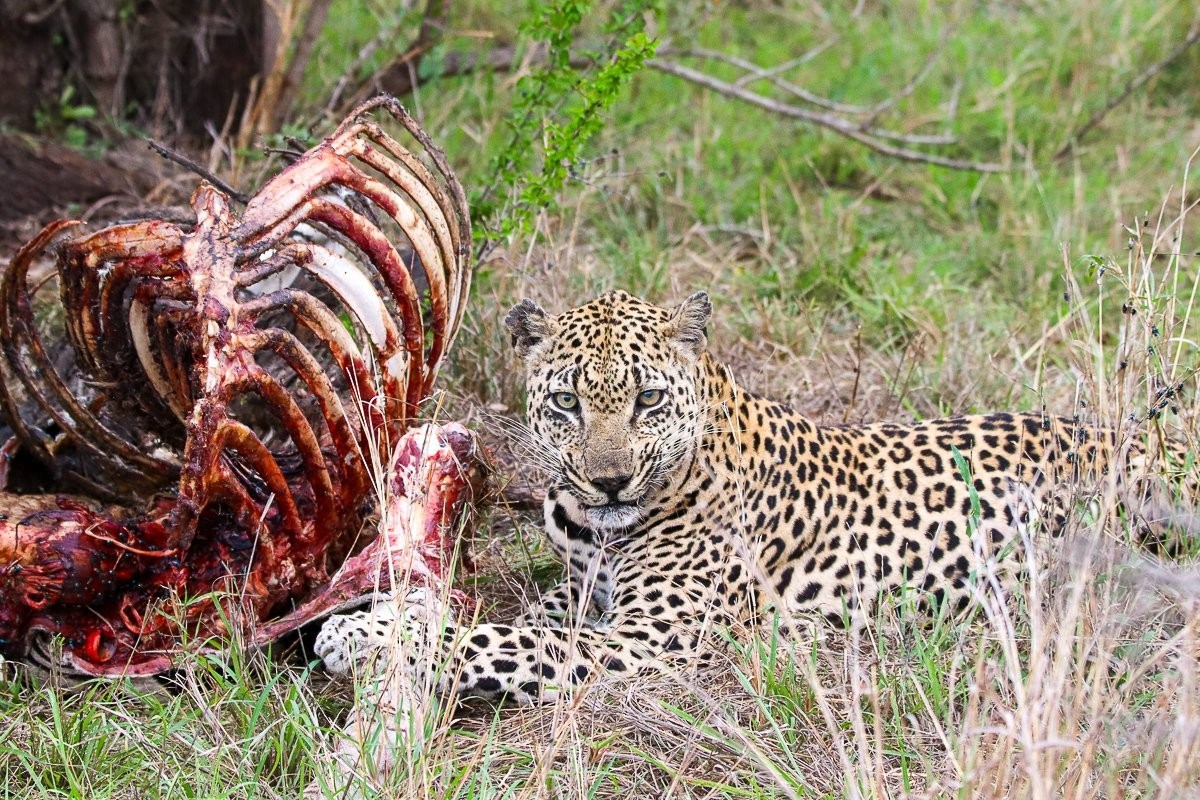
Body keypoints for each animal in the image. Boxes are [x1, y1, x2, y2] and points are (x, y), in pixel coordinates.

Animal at [314, 289, 1187, 705]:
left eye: (646, 400)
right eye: (566, 402)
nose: (607, 480)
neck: (600, 528)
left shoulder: (652, 638)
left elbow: (502, 640)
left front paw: (361, 636)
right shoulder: (582, 593)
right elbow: (507, 615)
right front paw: (383, 613)